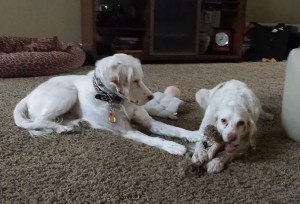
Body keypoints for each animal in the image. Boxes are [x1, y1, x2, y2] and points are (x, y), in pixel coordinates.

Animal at [12, 53, 204, 155]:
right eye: (135, 81)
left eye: (141, 79)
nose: (150, 97)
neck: (118, 101)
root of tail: (29, 95)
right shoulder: (126, 131)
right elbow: (154, 139)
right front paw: (173, 146)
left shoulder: (150, 122)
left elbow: (174, 129)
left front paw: (195, 134)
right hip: (67, 93)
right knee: (38, 121)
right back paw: (64, 128)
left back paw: (70, 125)